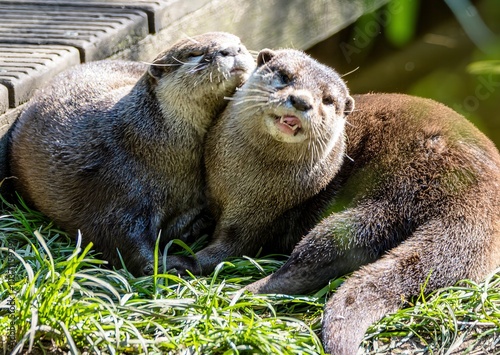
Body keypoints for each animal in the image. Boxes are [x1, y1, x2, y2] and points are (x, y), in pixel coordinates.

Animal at [8, 32, 254, 276]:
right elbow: (118, 238)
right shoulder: (117, 186)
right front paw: (165, 266)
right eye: (195, 53)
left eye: (239, 42)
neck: (146, 145)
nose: (232, 50)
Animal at [167, 48, 500, 354]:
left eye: (327, 100)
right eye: (284, 76)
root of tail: (480, 195)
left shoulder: (254, 218)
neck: (243, 184)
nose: (302, 101)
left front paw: (186, 261)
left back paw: (242, 293)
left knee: (316, 257)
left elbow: (228, 249)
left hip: (394, 196)